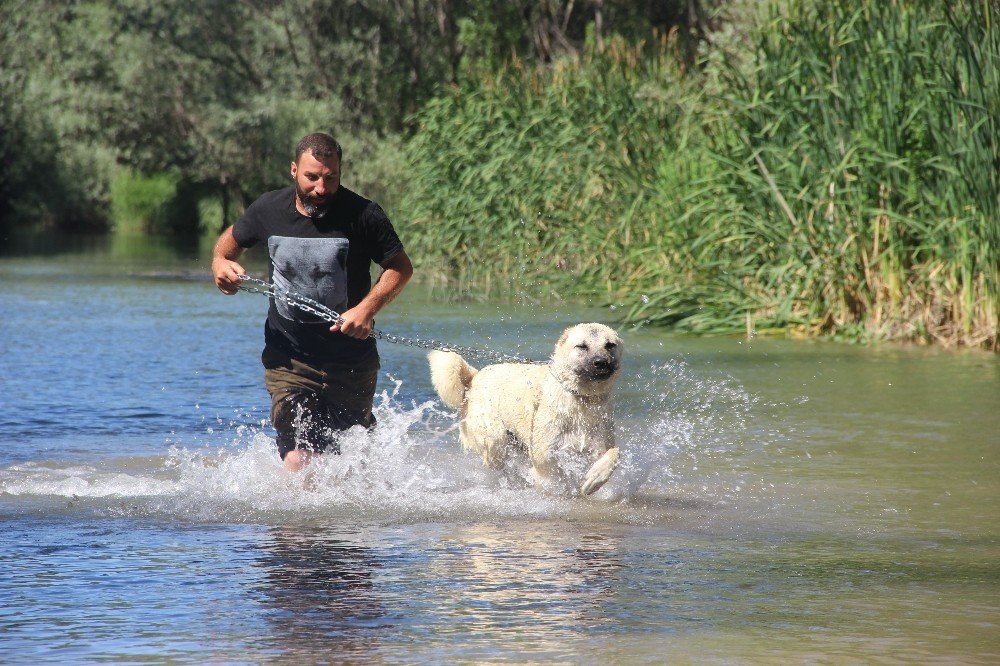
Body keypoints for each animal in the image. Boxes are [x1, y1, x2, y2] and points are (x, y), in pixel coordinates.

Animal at [426, 322, 620, 492]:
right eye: (582, 346)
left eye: (610, 345)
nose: (601, 362)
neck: (583, 399)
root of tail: (474, 378)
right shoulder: (544, 450)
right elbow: (551, 471)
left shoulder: (599, 443)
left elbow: (614, 454)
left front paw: (594, 479)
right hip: (495, 437)